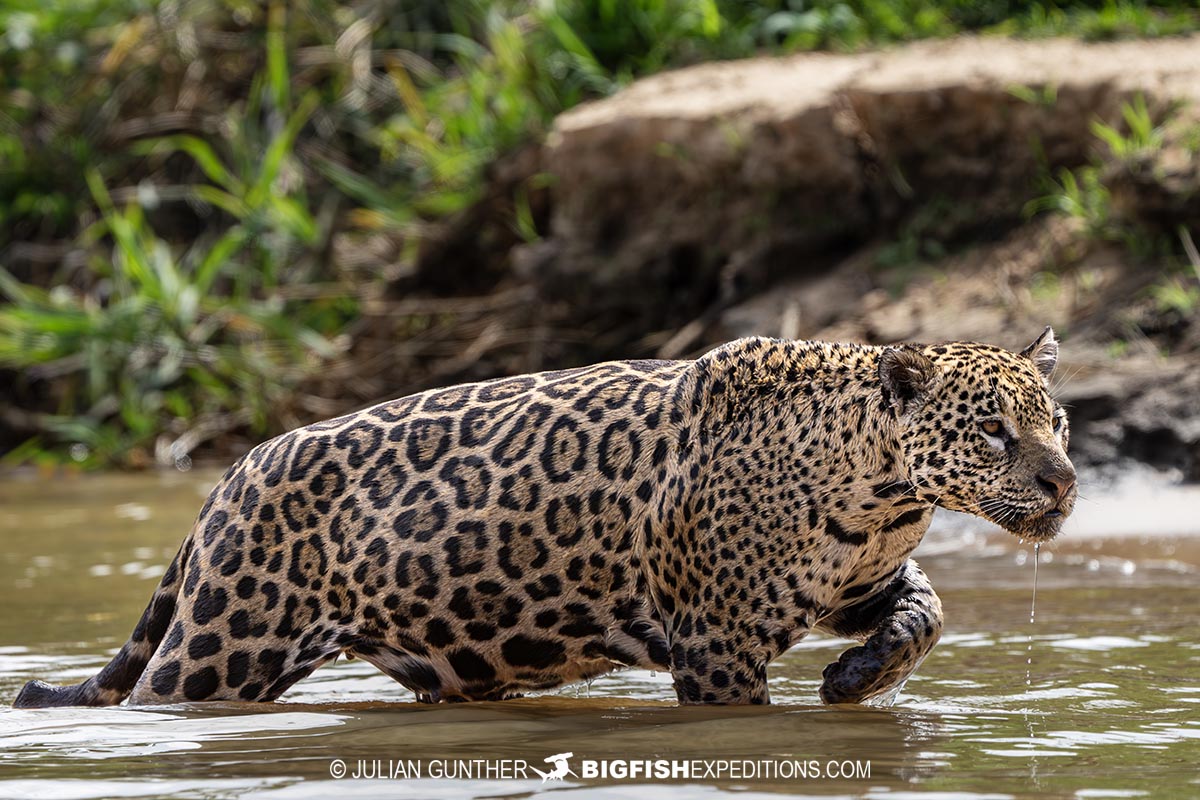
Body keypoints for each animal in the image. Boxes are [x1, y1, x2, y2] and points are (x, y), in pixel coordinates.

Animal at [13, 327, 1075, 708]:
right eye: (992, 431)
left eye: (1057, 422)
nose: (1066, 482)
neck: (884, 493)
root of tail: (229, 473)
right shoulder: (717, 641)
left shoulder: (861, 579)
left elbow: (925, 611)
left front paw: (858, 679)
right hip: (222, 648)